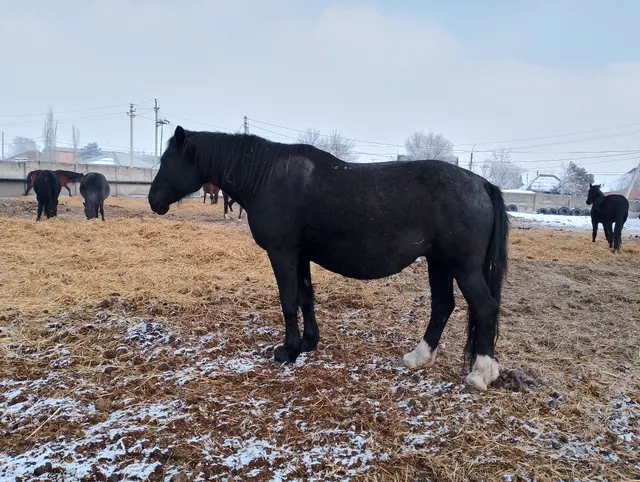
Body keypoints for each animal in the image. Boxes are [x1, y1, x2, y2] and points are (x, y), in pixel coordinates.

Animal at [148, 126, 509, 391]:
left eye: (167, 161)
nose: (154, 201)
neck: (267, 176)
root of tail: (482, 183)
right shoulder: (301, 255)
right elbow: (306, 296)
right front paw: (309, 342)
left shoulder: (282, 253)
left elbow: (289, 300)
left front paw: (288, 350)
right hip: (439, 263)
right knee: (442, 306)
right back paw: (418, 358)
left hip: (462, 266)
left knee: (485, 308)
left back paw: (480, 375)